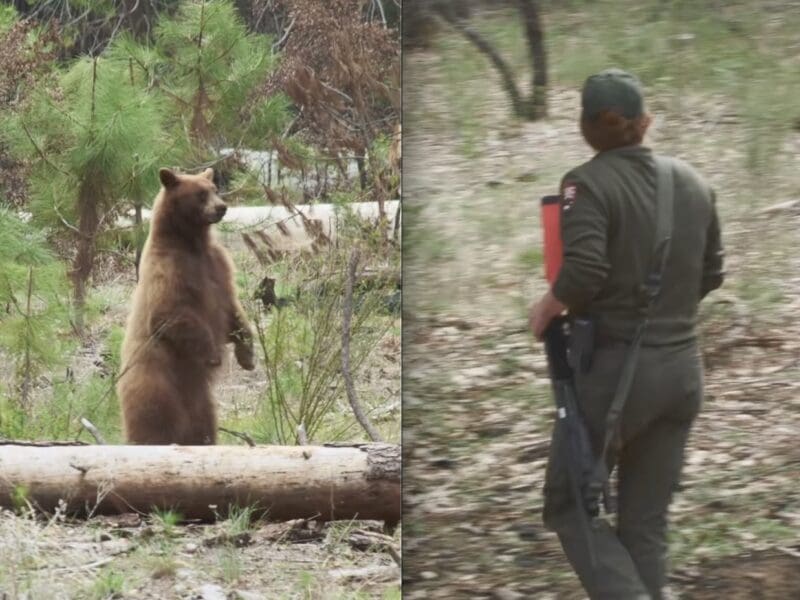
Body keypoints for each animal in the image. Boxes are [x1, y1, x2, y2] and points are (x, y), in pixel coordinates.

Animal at [117, 167, 255, 445]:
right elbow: (169, 314)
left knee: (204, 429)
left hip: (203, 406)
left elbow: (231, 309)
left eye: (214, 189)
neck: (191, 244)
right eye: (200, 194)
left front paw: (247, 355)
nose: (222, 207)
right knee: (152, 428)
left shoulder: (217, 265)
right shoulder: (168, 270)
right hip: (155, 390)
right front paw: (213, 354)